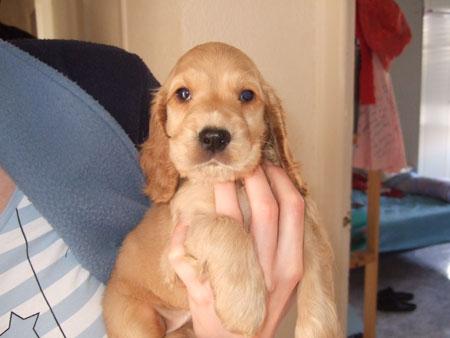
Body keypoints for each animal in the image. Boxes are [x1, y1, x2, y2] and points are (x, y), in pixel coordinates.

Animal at [103, 41, 342, 336]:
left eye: (247, 95)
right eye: (183, 94)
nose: (214, 137)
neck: (235, 183)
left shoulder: (306, 218)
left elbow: (319, 274)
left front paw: (319, 329)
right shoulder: (182, 236)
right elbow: (227, 227)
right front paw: (244, 307)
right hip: (134, 318)